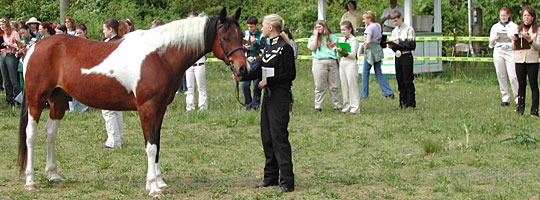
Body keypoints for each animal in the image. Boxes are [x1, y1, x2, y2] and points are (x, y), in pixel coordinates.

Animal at [16, 7, 248, 197]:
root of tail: (34, 48)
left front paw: (159, 182)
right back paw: (30, 181)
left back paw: (53, 175)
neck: (160, 56)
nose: (243, 69)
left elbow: (157, 143)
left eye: (241, 36)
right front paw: (153, 187)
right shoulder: (147, 108)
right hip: (36, 100)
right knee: (31, 135)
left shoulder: (160, 109)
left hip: (58, 101)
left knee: (50, 133)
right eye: (225, 37)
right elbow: (151, 146)